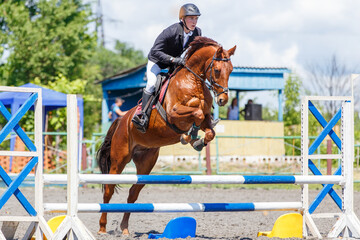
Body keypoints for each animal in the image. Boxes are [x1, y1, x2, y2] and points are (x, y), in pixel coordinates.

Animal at [96, 36, 236, 235]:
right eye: (217, 70)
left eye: (231, 70)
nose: (223, 100)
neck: (193, 81)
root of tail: (122, 120)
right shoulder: (174, 113)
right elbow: (196, 113)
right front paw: (187, 137)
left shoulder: (205, 119)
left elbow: (209, 129)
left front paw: (196, 141)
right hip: (119, 158)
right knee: (108, 189)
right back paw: (102, 228)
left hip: (146, 163)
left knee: (133, 194)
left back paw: (124, 229)